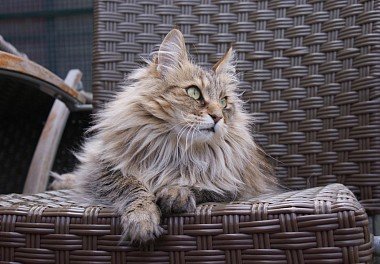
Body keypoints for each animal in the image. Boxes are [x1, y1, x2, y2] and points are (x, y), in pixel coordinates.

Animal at [52, 28, 278, 243]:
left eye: (223, 102)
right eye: (194, 92)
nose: (218, 116)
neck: (176, 148)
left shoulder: (235, 186)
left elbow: (201, 185)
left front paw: (176, 193)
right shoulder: (104, 171)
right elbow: (133, 188)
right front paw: (142, 221)